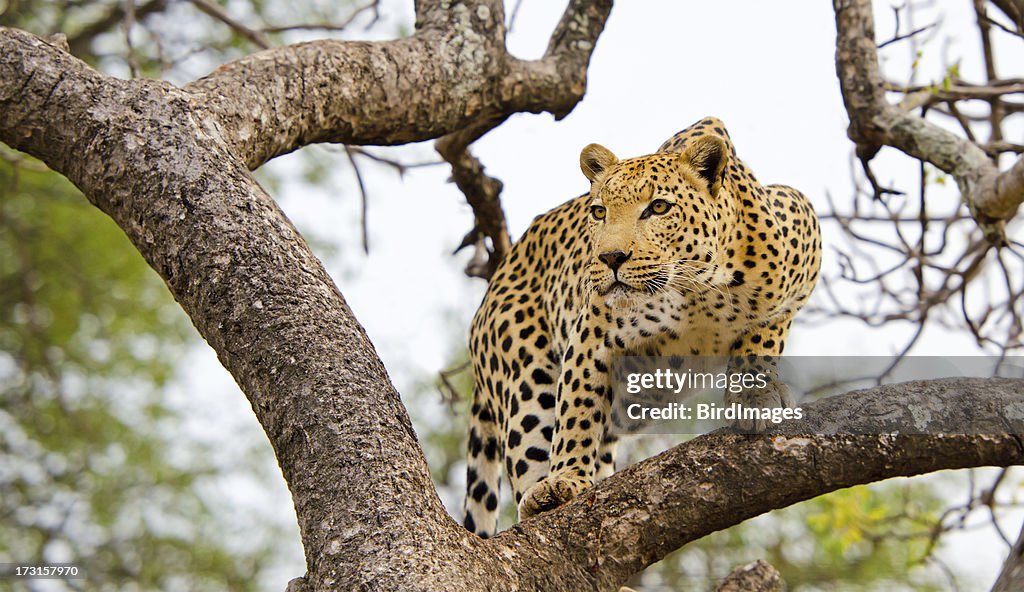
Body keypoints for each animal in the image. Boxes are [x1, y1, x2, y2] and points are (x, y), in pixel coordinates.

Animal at [464, 115, 823, 532]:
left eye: (659, 207)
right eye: (599, 212)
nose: (610, 257)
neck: (698, 292)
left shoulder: (802, 230)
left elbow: (766, 329)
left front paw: (753, 394)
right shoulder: (591, 334)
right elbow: (576, 406)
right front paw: (567, 476)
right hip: (524, 372)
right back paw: (543, 494)